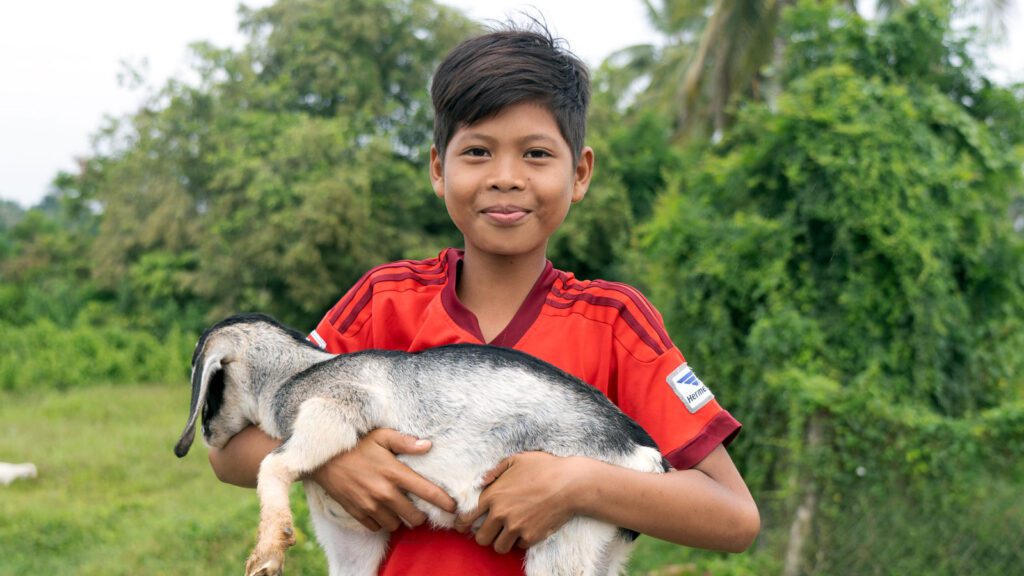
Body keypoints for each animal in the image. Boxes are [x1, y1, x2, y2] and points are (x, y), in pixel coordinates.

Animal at [172, 313, 667, 573]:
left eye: (210, 387)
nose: (208, 438)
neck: (297, 372)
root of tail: (644, 455)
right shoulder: (352, 533)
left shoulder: (339, 405)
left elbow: (273, 464)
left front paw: (268, 551)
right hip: (603, 549)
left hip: (566, 533)